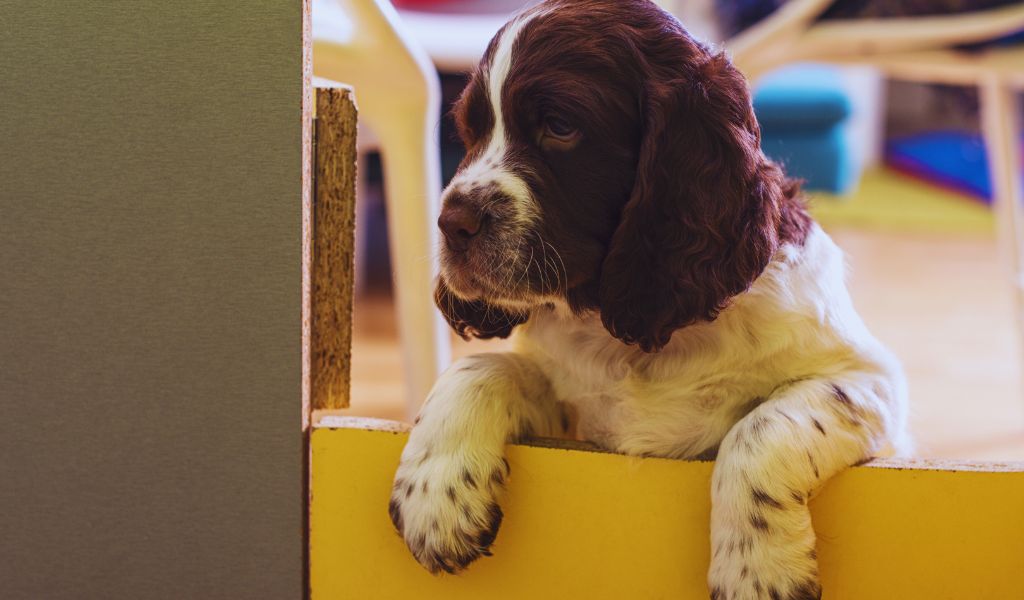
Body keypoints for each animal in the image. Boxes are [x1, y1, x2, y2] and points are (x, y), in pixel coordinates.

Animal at [387, 2, 909, 593]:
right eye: (469, 131)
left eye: (560, 126)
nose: (451, 223)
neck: (637, 336)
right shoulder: (576, 425)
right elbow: (481, 369)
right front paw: (434, 498)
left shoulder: (869, 382)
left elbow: (760, 429)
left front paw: (757, 571)